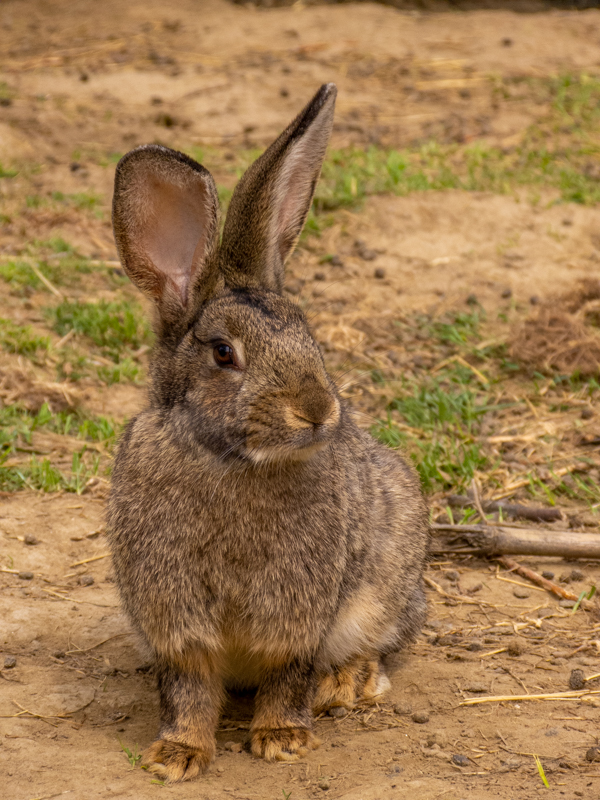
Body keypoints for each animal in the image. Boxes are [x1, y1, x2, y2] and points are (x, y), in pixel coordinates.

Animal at [107, 83, 429, 783]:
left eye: (307, 333)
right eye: (224, 353)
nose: (317, 411)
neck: (229, 458)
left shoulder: (299, 609)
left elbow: (289, 672)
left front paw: (282, 738)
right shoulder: (174, 615)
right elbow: (189, 687)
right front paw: (177, 754)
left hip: (391, 575)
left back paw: (348, 684)